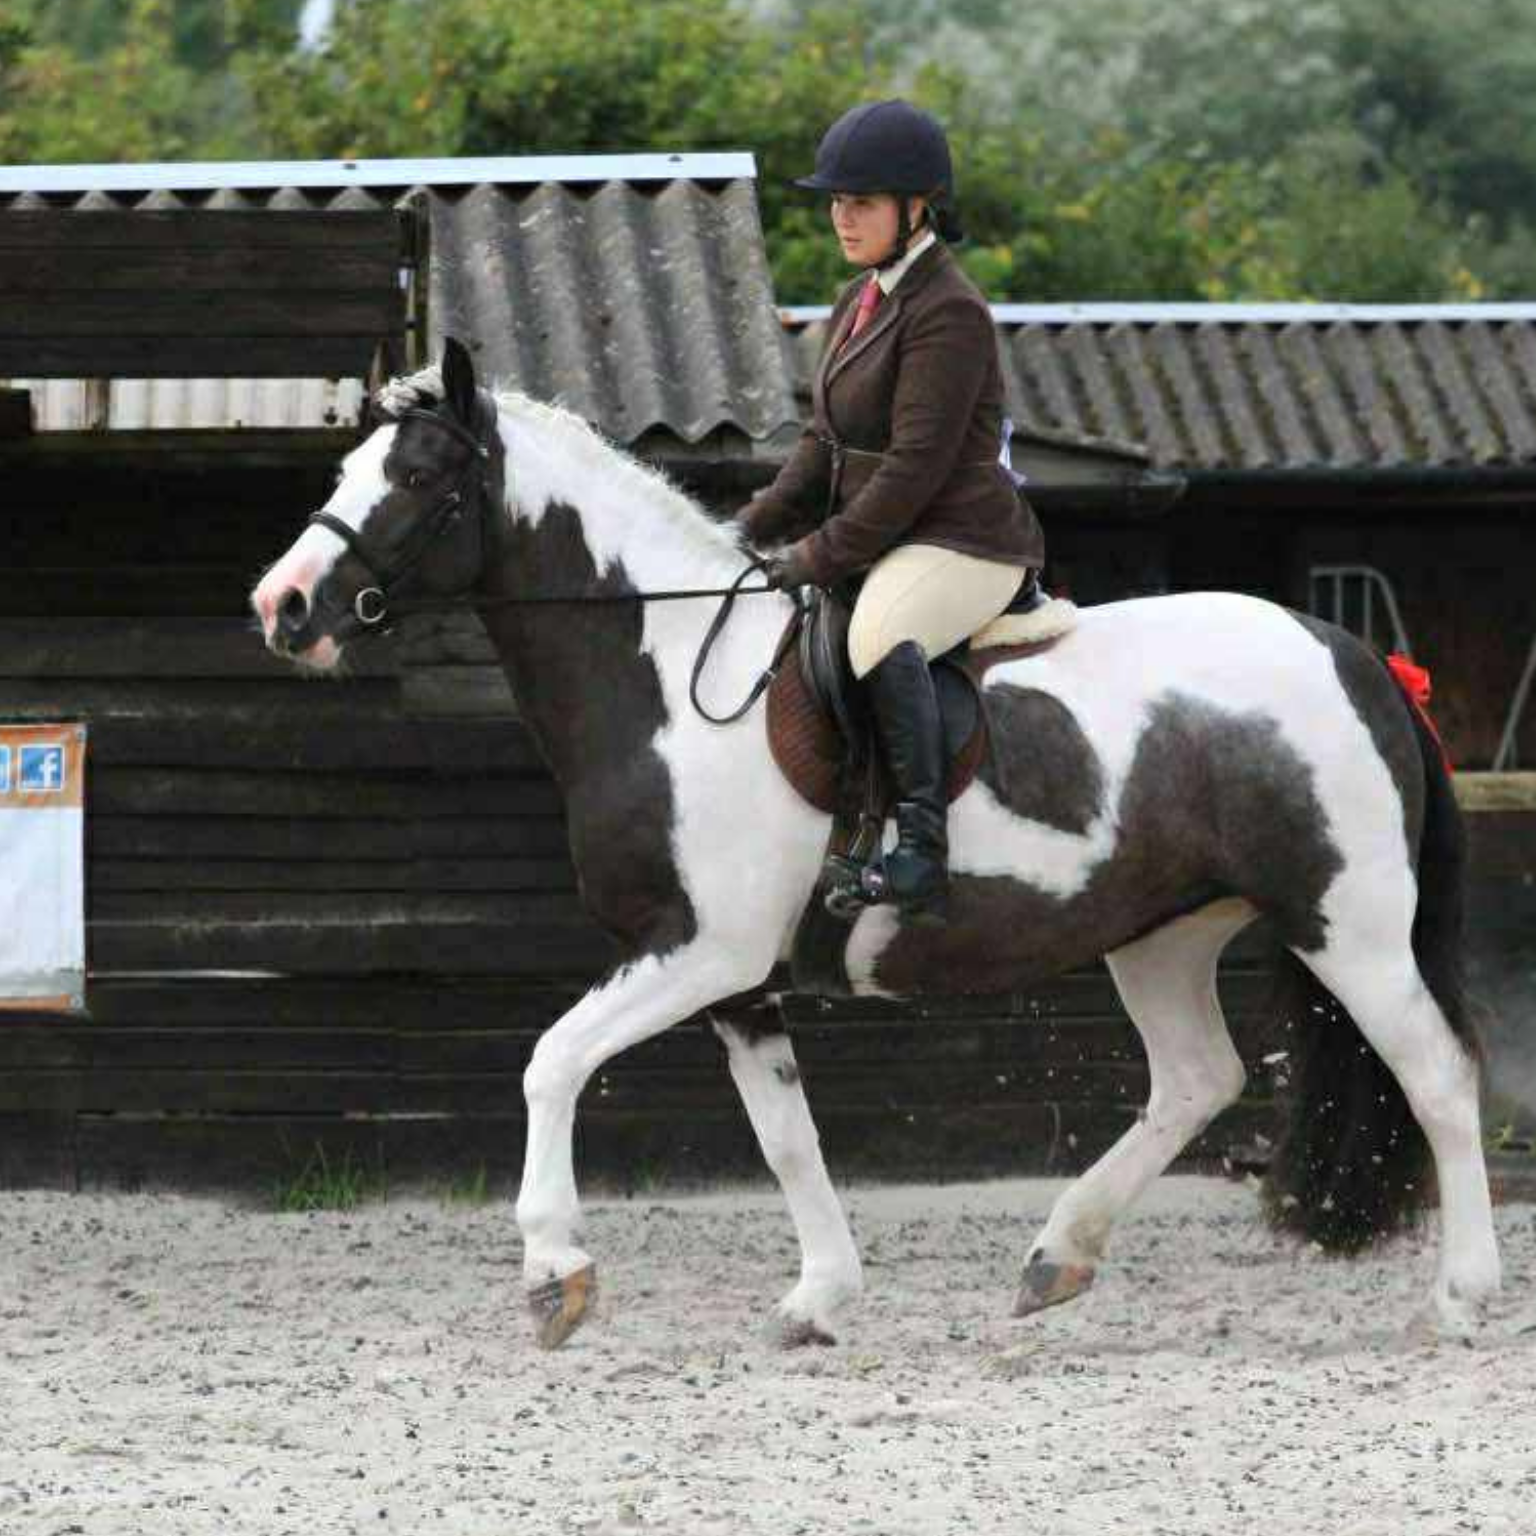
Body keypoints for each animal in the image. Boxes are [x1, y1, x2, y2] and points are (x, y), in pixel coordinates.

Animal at [251, 339, 1501, 1351]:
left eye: (420, 477)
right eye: (346, 473)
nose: (284, 607)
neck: (663, 675)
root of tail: (1354, 654)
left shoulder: (698, 951)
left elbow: (552, 1061)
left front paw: (556, 1273)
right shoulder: (736, 982)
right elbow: (787, 1138)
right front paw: (819, 1298)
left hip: (1349, 928)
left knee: (1438, 1078)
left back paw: (1463, 1298)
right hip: (1162, 934)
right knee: (1198, 1079)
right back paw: (1056, 1258)